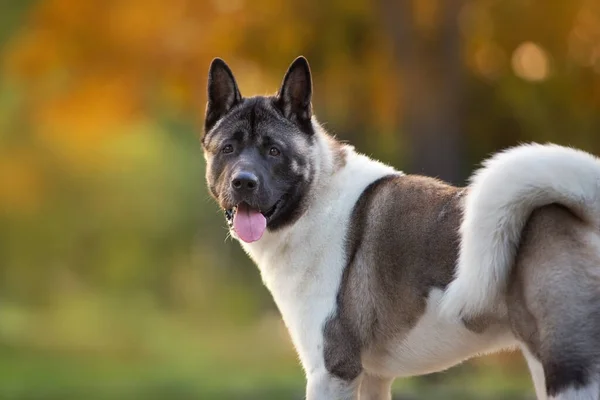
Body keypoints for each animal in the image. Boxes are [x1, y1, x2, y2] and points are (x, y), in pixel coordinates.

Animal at [200, 57, 600, 400]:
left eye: (274, 151)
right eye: (228, 148)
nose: (243, 181)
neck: (317, 196)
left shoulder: (333, 372)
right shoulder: (373, 378)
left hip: (569, 373)